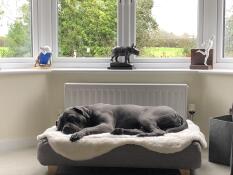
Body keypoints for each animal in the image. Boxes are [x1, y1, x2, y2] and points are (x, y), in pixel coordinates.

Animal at [56, 103, 187, 142]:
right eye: (60, 125)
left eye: (72, 118)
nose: (65, 128)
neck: (91, 112)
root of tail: (177, 113)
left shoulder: (106, 125)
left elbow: (87, 128)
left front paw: (77, 134)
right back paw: (121, 131)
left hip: (145, 117)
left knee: (159, 132)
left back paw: (143, 135)